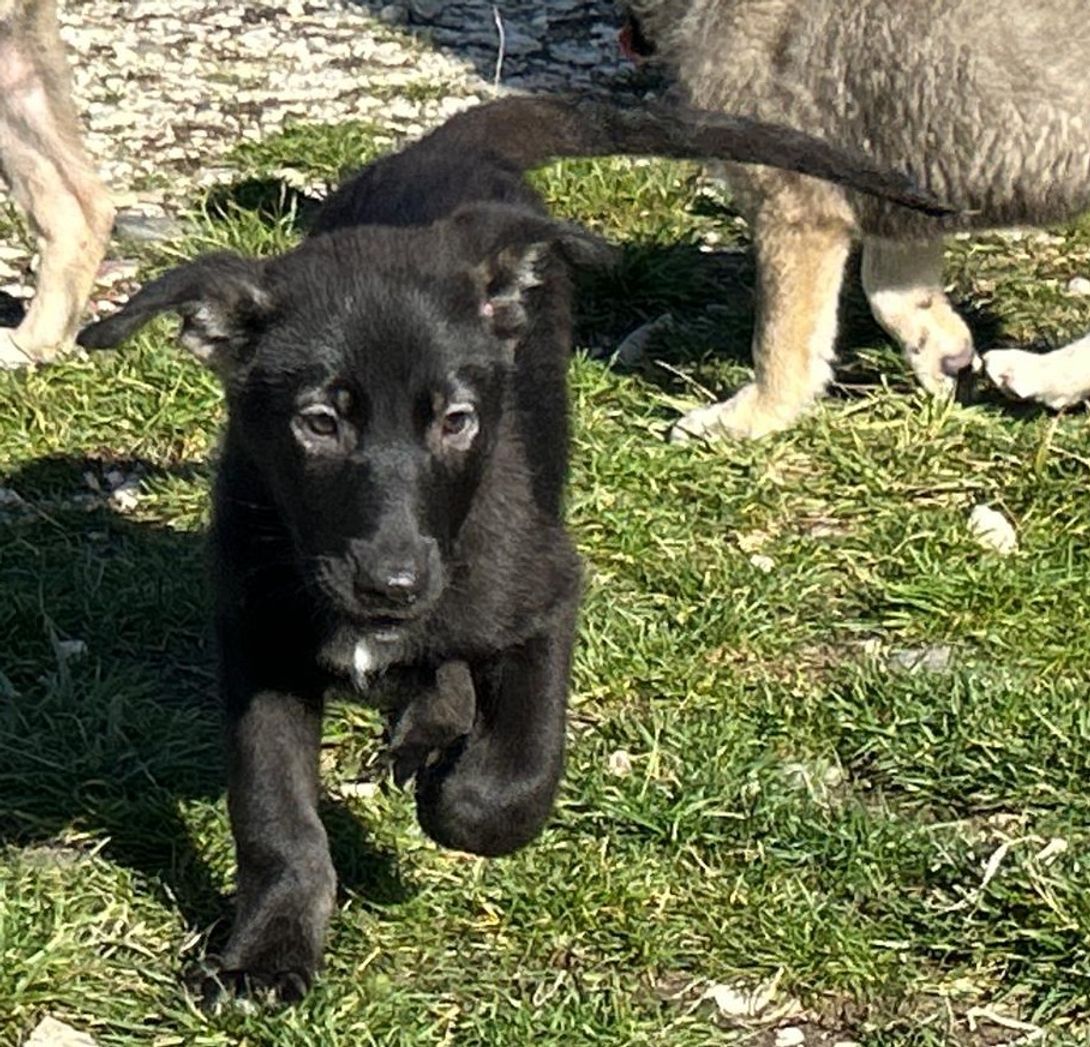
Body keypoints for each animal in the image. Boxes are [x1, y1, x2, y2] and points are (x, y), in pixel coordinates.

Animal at [77, 94, 946, 1001]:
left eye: (456, 420)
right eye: (317, 422)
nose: (392, 584)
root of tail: (447, 152)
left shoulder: (542, 591)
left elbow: (515, 774)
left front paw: (454, 795)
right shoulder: (259, 638)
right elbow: (275, 817)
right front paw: (270, 947)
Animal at [622, 2, 1090, 439]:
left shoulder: (793, 204)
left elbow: (779, 341)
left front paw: (749, 417)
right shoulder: (900, 188)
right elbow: (890, 290)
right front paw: (947, 356)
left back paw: (1040, 375)